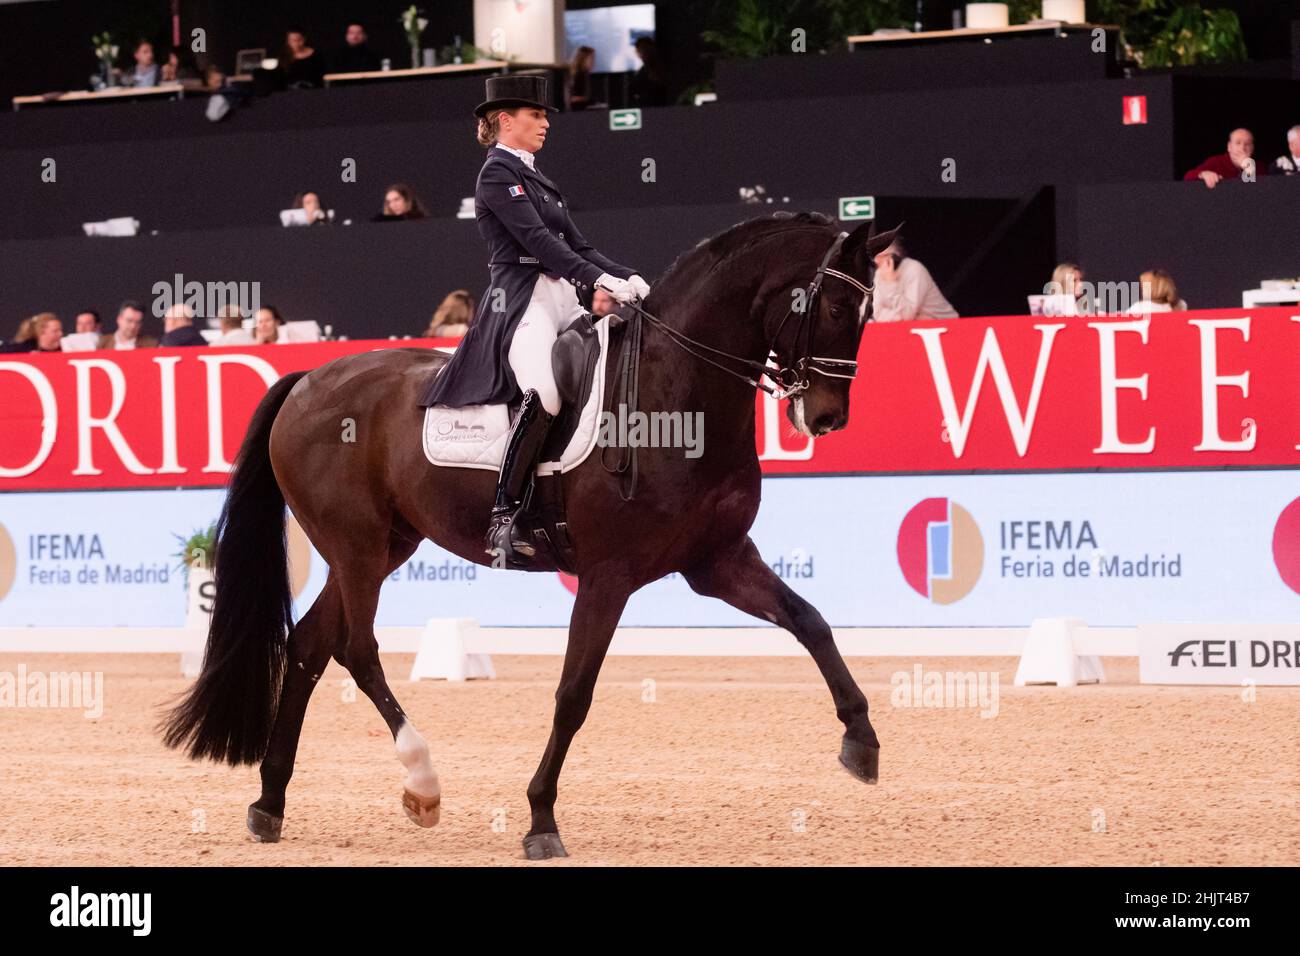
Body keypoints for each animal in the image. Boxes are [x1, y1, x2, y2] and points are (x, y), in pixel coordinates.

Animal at [162, 209, 904, 858]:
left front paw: (862, 740)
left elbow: (810, 621)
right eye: (835, 310)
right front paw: (541, 819)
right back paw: (422, 783)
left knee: (311, 647)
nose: (827, 417)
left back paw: (270, 803)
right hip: (356, 544)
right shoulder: (609, 576)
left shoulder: (717, 560)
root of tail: (309, 379)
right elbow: (573, 695)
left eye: (870, 315)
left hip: (385, 544)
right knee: (354, 647)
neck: (676, 390)